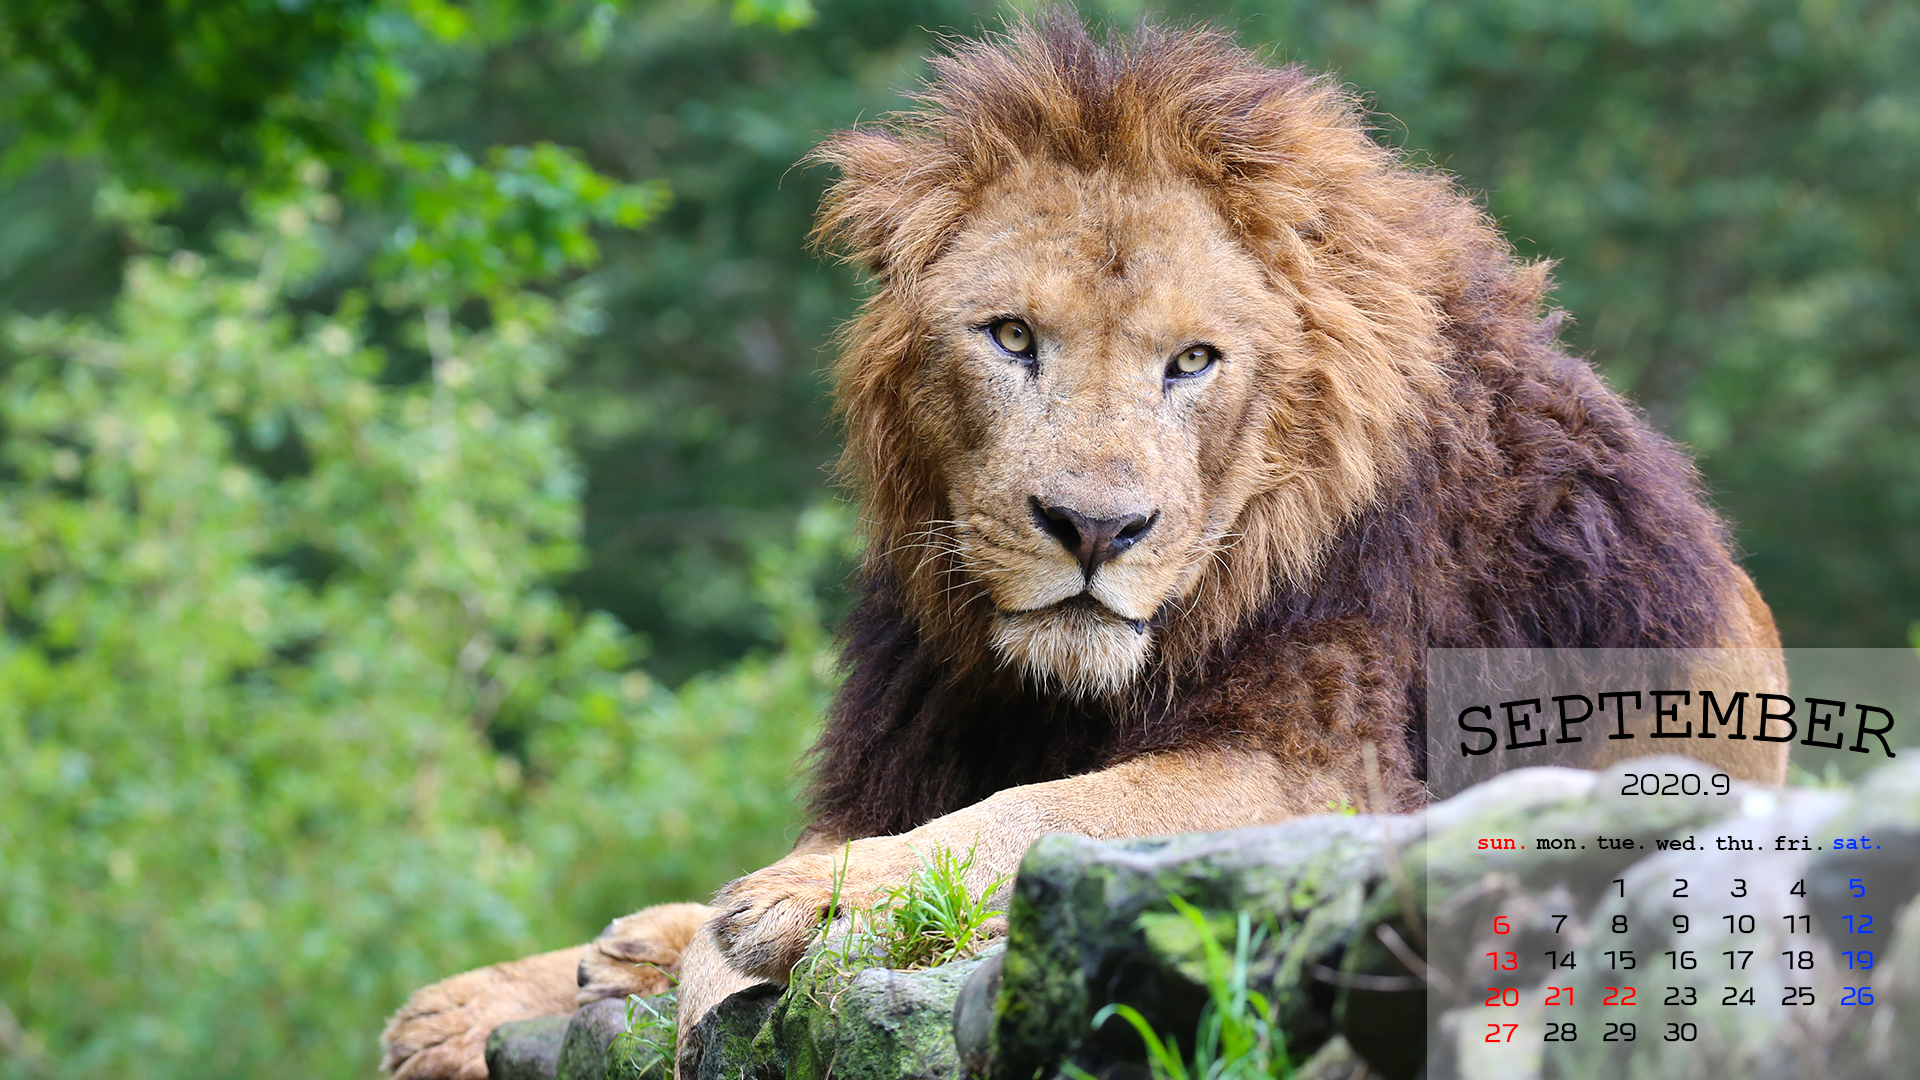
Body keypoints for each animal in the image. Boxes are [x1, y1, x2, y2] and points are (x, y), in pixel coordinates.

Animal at [382, 18, 1789, 1076]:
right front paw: (487, 998)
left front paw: (795, 906)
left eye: (1194, 361)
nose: (1095, 529)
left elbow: (1044, 814)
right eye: (1011, 338)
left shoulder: (1327, 777)